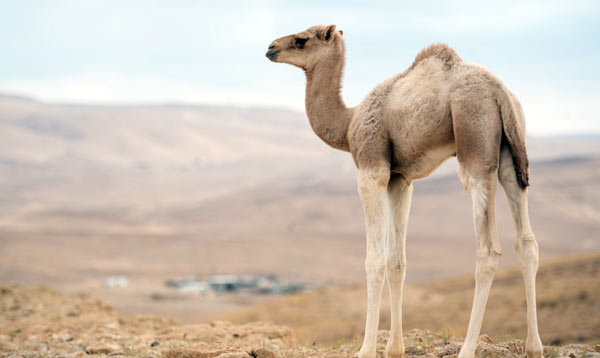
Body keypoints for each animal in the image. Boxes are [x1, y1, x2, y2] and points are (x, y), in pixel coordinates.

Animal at [264, 25, 540, 358]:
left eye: (302, 39)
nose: (271, 47)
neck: (348, 123)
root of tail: (500, 91)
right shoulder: (400, 179)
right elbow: (397, 262)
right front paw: (395, 348)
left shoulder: (372, 169)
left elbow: (375, 260)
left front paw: (366, 349)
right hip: (511, 153)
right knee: (526, 241)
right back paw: (534, 347)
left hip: (474, 144)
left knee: (487, 249)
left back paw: (467, 349)